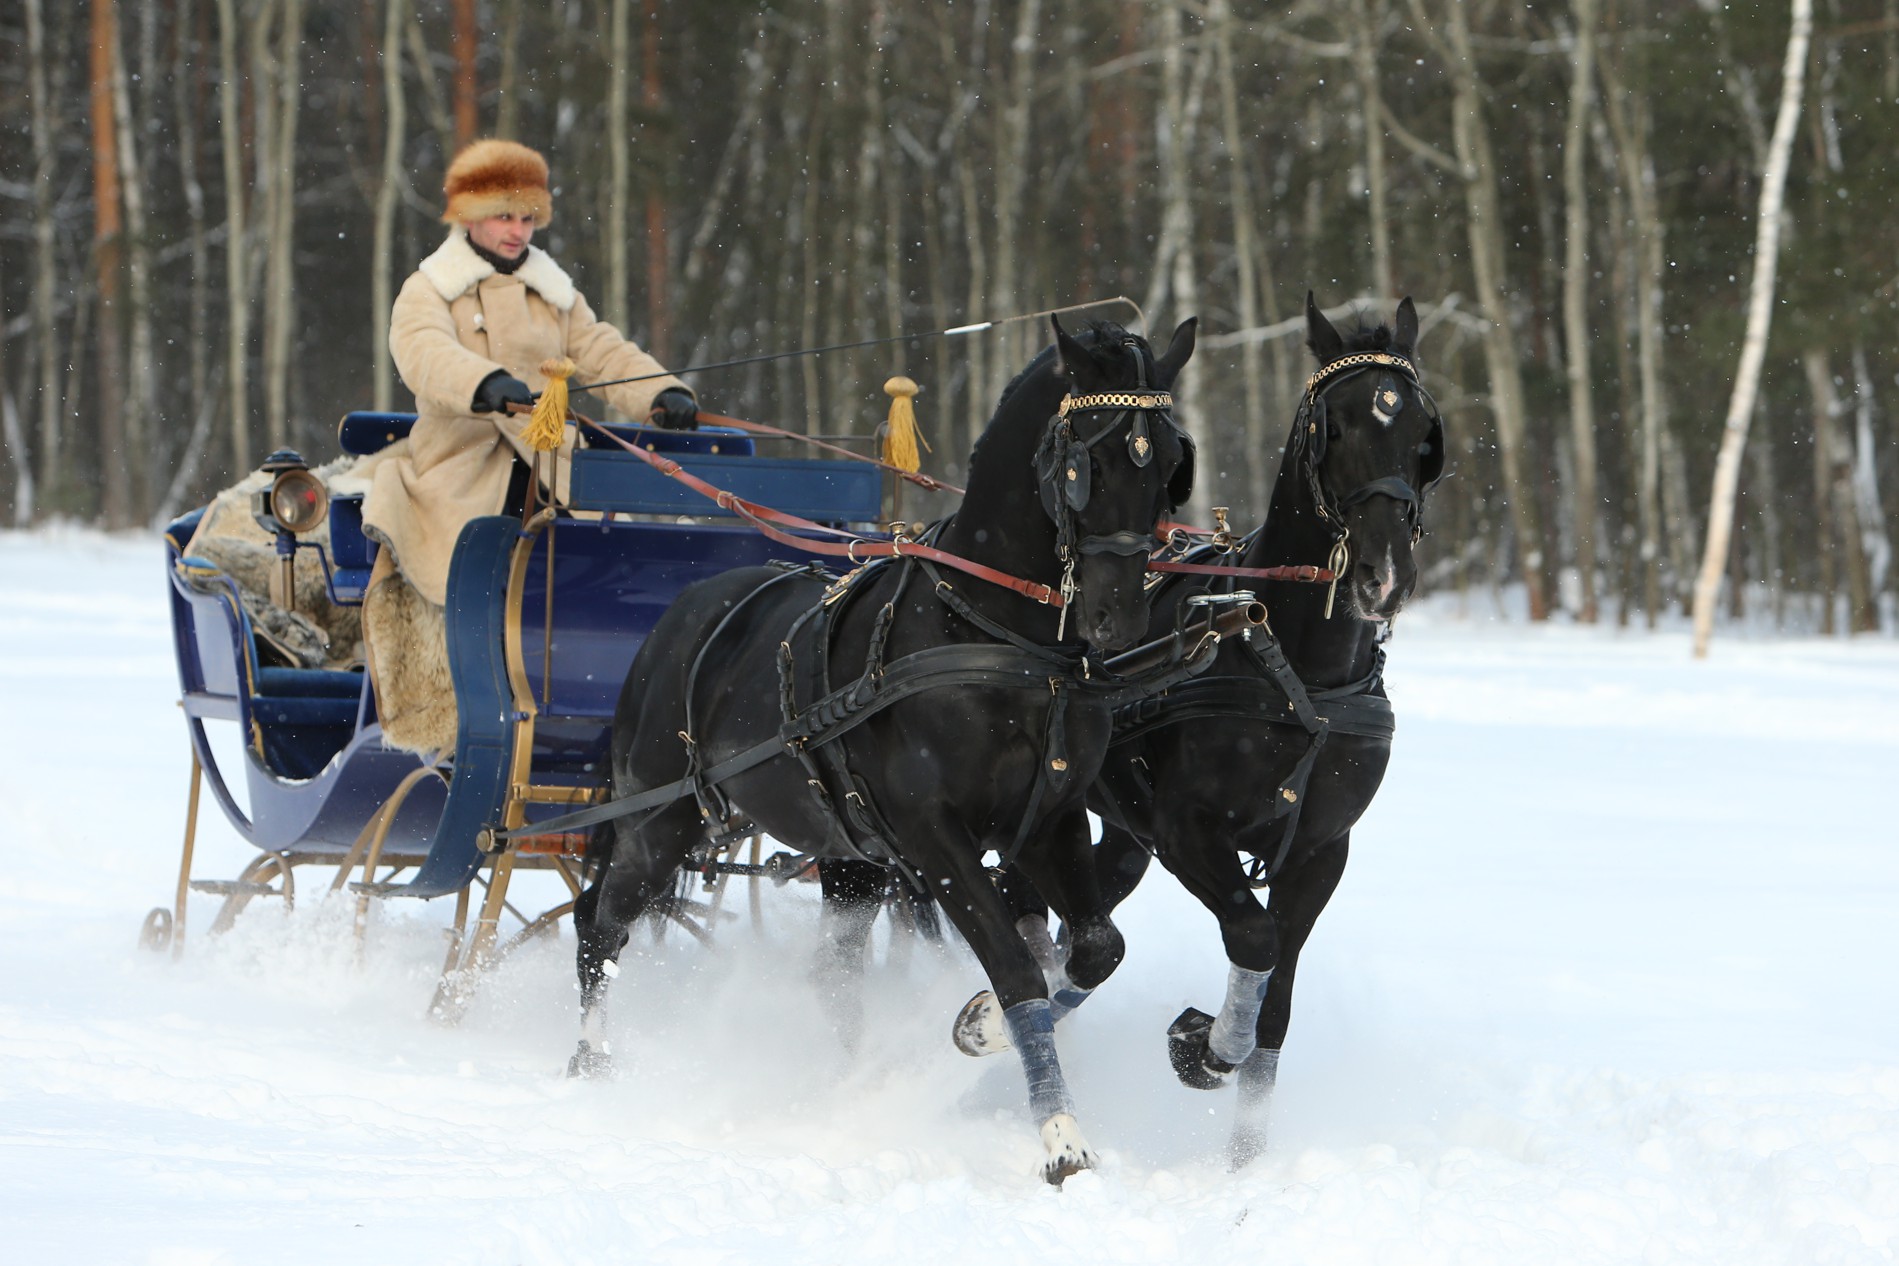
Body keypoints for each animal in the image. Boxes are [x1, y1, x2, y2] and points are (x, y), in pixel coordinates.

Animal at [565, 311, 1200, 1184]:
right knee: (601, 921)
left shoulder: (1050, 822)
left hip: (849, 857)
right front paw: (1060, 1138)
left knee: (831, 976)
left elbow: (1094, 949)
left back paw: (850, 1084)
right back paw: (591, 1057)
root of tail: (682, 608)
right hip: (663, 820)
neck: (994, 637)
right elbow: (1015, 964)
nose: (1119, 617)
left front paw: (976, 1026)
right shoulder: (935, 839)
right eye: (1085, 463)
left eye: (1170, 465)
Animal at [957, 297, 1443, 1169]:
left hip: (1120, 830)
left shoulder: (1320, 853)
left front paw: (1244, 1158)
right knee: (1032, 910)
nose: (1381, 575)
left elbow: (1277, 1002)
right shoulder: (1188, 830)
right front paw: (1201, 1046)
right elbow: (1252, 937)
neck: (1296, 671)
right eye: (1337, 425)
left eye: (1424, 432)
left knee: (1076, 916)